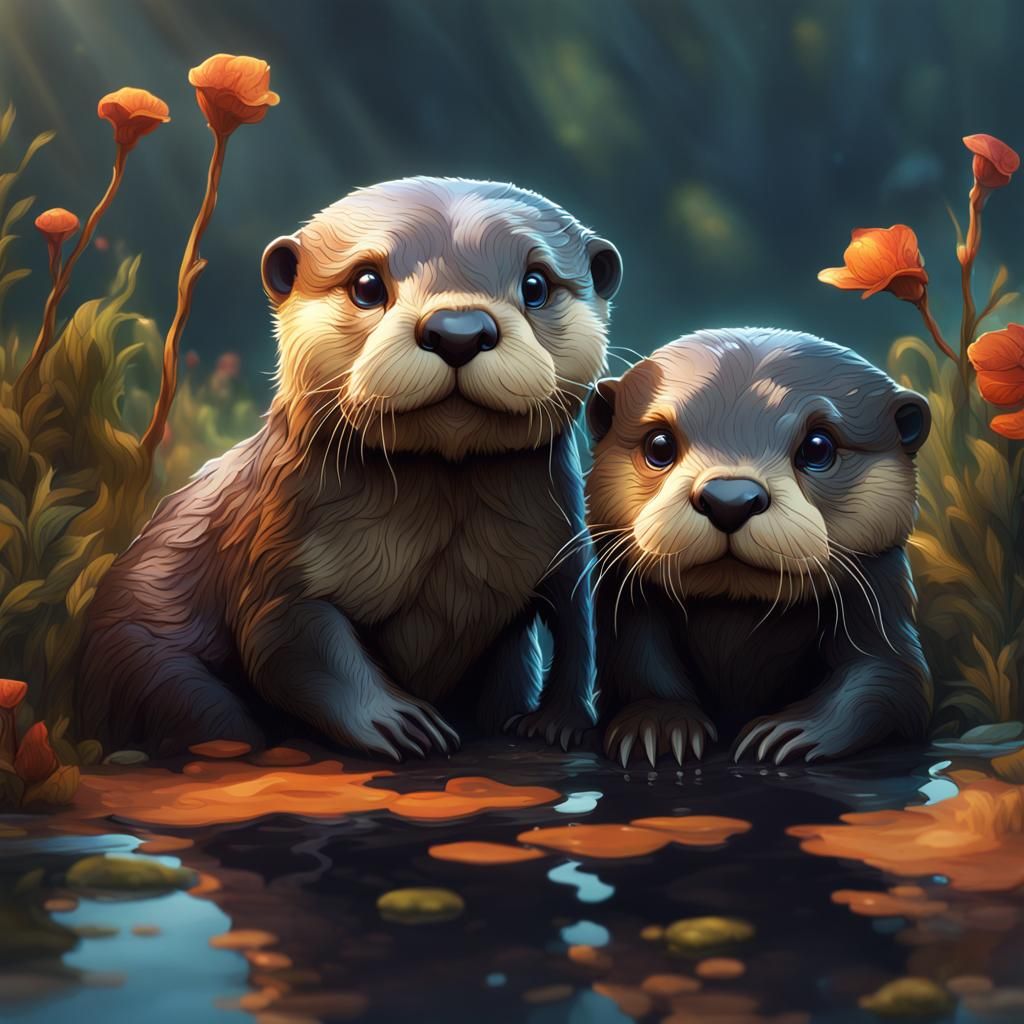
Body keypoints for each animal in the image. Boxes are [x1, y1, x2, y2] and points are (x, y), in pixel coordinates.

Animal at [77, 177, 622, 759]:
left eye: (536, 284)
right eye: (366, 284)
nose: (458, 330)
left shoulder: (566, 540)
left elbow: (579, 626)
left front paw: (562, 721)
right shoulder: (277, 546)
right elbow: (288, 639)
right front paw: (400, 721)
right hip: (144, 664)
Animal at [585, 328, 933, 767]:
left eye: (818, 447)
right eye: (659, 444)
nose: (729, 499)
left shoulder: (880, 589)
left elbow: (889, 675)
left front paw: (791, 731)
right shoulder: (627, 601)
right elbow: (639, 663)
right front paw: (656, 724)